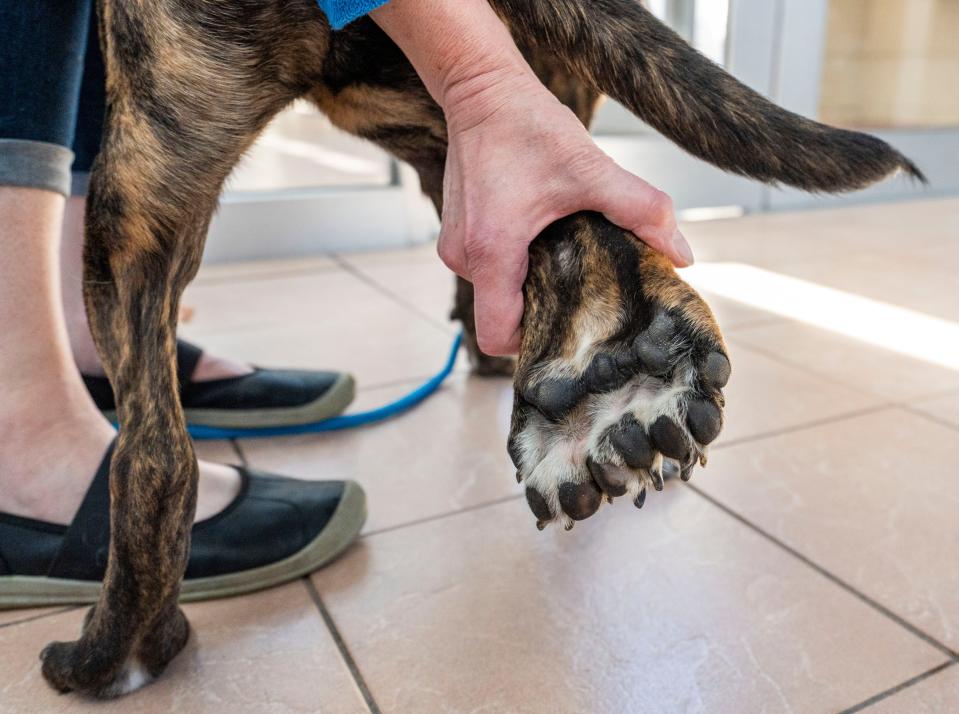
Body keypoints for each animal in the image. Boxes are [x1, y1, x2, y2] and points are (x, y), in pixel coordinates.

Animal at [39, 0, 924, 696]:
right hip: (432, 105)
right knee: (561, 207)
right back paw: (617, 387)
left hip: (145, 175)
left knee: (157, 454)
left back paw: (115, 650)